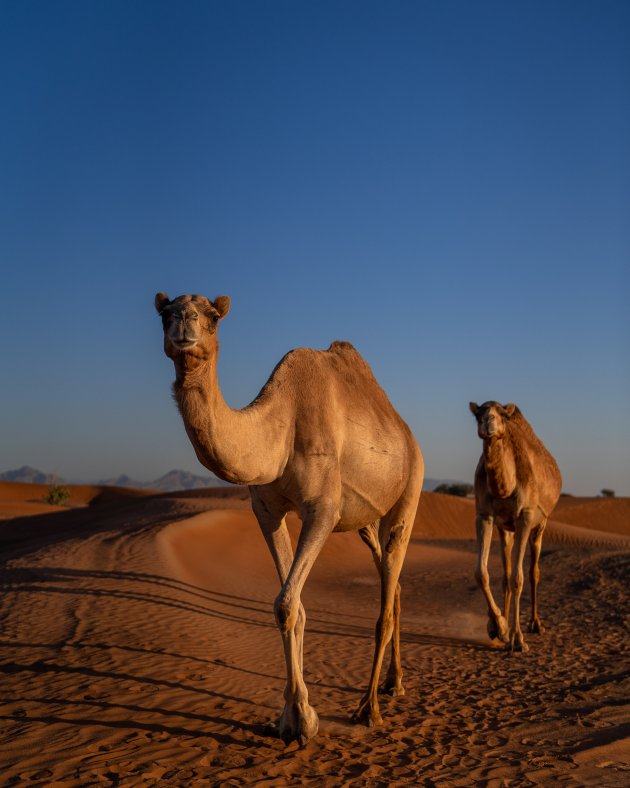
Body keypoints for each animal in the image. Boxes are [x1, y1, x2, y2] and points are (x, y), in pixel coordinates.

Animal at [156, 294, 428, 744]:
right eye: (163, 314)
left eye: (213, 317)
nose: (183, 322)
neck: (279, 431)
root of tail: (408, 435)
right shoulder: (267, 511)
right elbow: (293, 607)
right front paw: (291, 716)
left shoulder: (322, 509)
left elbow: (286, 602)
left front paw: (303, 719)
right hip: (365, 522)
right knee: (395, 584)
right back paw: (395, 683)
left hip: (409, 493)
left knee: (387, 598)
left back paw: (369, 708)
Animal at [470, 400, 564, 652]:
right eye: (478, 415)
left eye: (502, 415)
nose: (488, 421)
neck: (505, 486)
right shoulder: (484, 515)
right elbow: (482, 573)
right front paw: (499, 626)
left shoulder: (525, 517)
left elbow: (518, 580)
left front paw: (518, 639)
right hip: (505, 529)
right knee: (506, 574)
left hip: (540, 525)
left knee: (533, 572)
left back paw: (535, 624)